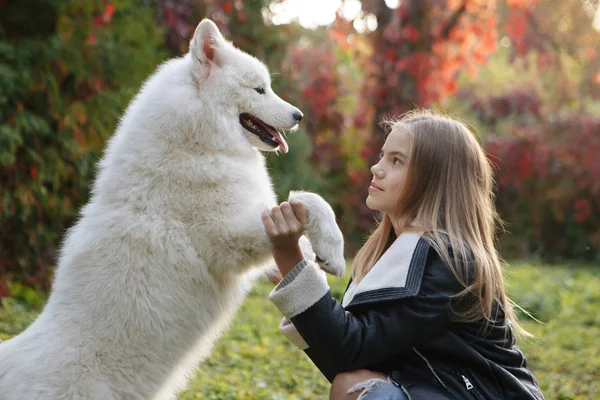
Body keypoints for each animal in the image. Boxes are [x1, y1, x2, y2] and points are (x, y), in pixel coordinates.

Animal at [0, 19, 344, 400]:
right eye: (259, 90)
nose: (298, 115)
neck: (196, 144)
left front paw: (318, 256)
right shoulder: (229, 239)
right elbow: (310, 200)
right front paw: (334, 252)